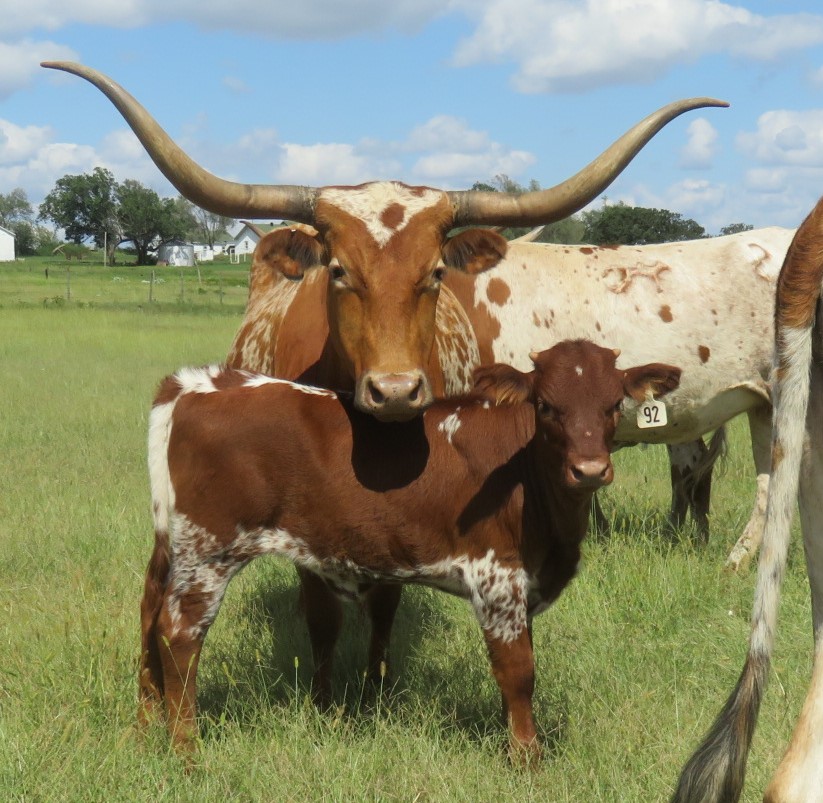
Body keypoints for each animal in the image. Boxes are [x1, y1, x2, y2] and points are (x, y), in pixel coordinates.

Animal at [138, 340, 681, 756]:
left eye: (614, 405)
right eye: (546, 405)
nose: (589, 470)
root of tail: (199, 383)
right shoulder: (496, 576)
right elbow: (518, 671)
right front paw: (527, 757)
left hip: (176, 545)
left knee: (149, 612)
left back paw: (147, 721)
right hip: (211, 550)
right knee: (179, 634)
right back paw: (186, 749)